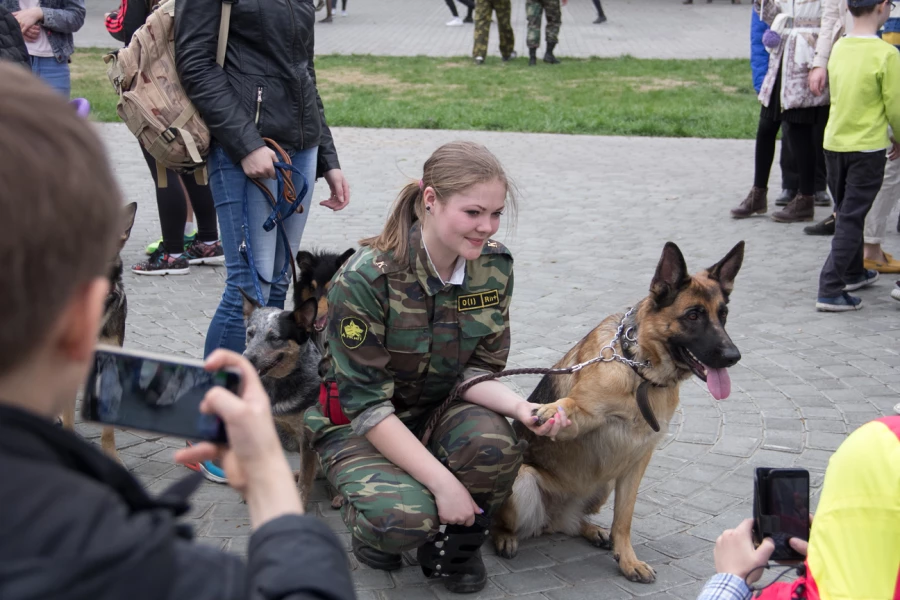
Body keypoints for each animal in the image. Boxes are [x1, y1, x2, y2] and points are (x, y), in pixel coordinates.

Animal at [492, 241, 744, 584]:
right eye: (693, 315)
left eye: (724, 314)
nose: (733, 356)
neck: (639, 371)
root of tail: (555, 513)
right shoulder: (583, 417)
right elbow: (568, 405)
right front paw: (550, 409)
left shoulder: (637, 459)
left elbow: (623, 518)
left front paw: (627, 559)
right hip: (523, 480)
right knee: (514, 523)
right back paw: (506, 537)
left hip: (603, 484)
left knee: (563, 525)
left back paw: (591, 530)